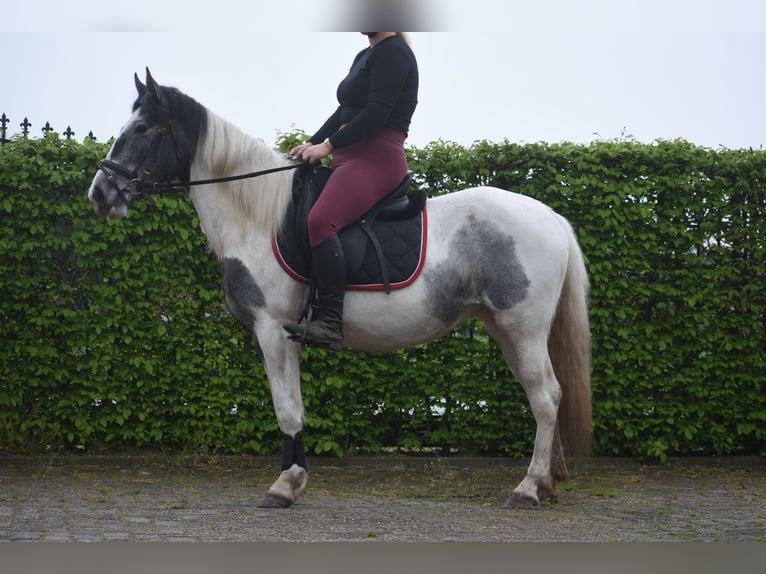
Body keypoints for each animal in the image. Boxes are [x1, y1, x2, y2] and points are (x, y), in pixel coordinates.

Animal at [88, 69, 592, 508]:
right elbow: (292, 407)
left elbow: (287, 408)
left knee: (546, 397)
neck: (259, 217)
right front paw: (293, 481)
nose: (99, 194)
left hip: (521, 327)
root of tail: (550, 217)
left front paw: (284, 486)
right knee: (546, 395)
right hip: (505, 330)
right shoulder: (279, 334)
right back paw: (546, 483)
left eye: (141, 128)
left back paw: (528, 489)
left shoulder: (273, 330)